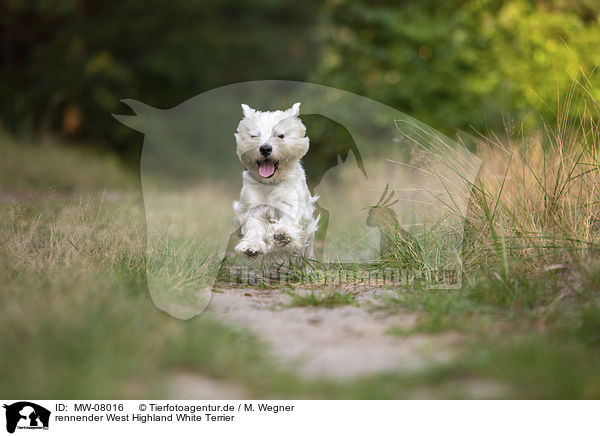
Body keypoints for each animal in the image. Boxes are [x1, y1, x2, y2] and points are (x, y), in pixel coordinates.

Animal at [233, 102, 318, 258]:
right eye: (253, 136)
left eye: (280, 135)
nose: (265, 148)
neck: (270, 183)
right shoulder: (253, 206)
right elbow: (253, 224)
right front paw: (251, 247)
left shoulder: (293, 201)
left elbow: (291, 216)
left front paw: (283, 235)